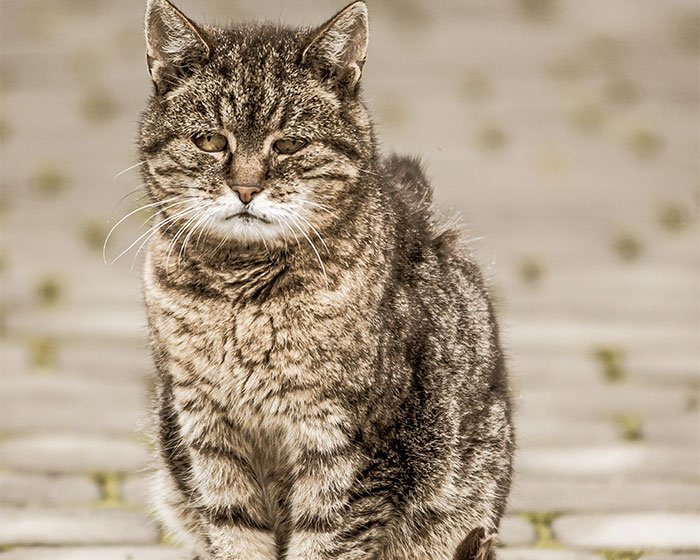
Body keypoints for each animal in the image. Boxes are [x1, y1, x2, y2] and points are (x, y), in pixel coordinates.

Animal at [138, 0, 516, 556]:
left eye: (290, 145)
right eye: (209, 140)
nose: (245, 188)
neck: (239, 297)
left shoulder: (352, 446)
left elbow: (327, 540)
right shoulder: (208, 434)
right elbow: (235, 533)